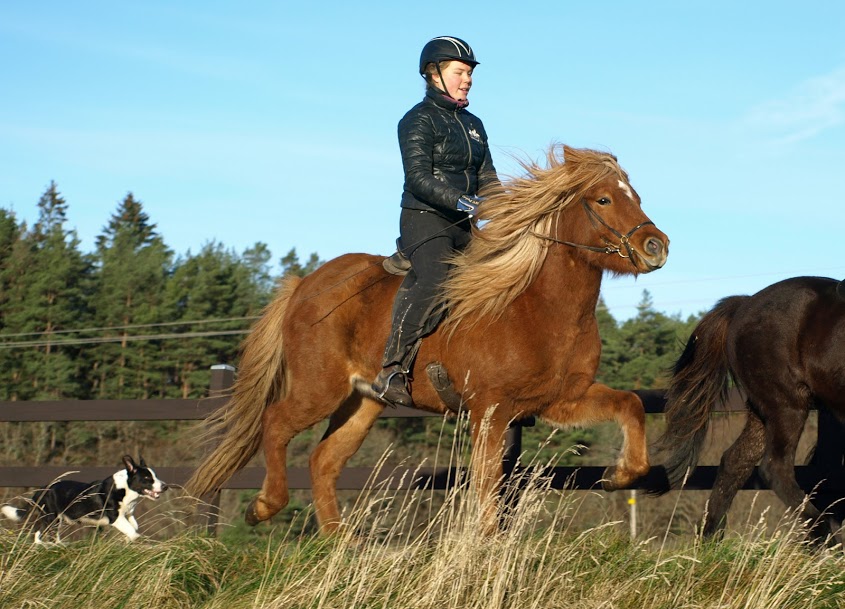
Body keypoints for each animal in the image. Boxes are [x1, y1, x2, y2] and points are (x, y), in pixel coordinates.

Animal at [0, 454, 167, 544]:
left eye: (155, 476)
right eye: (147, 478)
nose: (165, 486)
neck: (126, 488)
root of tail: (43, 489)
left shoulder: (128, 513)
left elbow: (134, 526)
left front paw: (127, 540)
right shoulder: (116, 517)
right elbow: (132, 531)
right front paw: (132, 539)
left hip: (56, 519)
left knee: (51, 534)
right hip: (51, 517)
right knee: (39, 533)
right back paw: (45, 546)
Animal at [188, 145, 668, 528]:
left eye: (637, 197)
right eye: (603, 198)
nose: (656, 246)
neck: (536, 305)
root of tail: (304, 284)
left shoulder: (560, 400)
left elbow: (631, 405)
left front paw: (619, 475)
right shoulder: (490, 411)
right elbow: (487, 486)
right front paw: (482, 546)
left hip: (363, 401)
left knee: (323, 462)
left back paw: (344, 547)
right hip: (317, 389)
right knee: (275, 424)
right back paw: (266, 506)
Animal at [652, 278, 844, 544]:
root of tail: (744, 303)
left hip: (762, 410)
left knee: (735, 461)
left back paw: (710, 540)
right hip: (786, 404)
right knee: (774, 469)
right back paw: (824, 539)